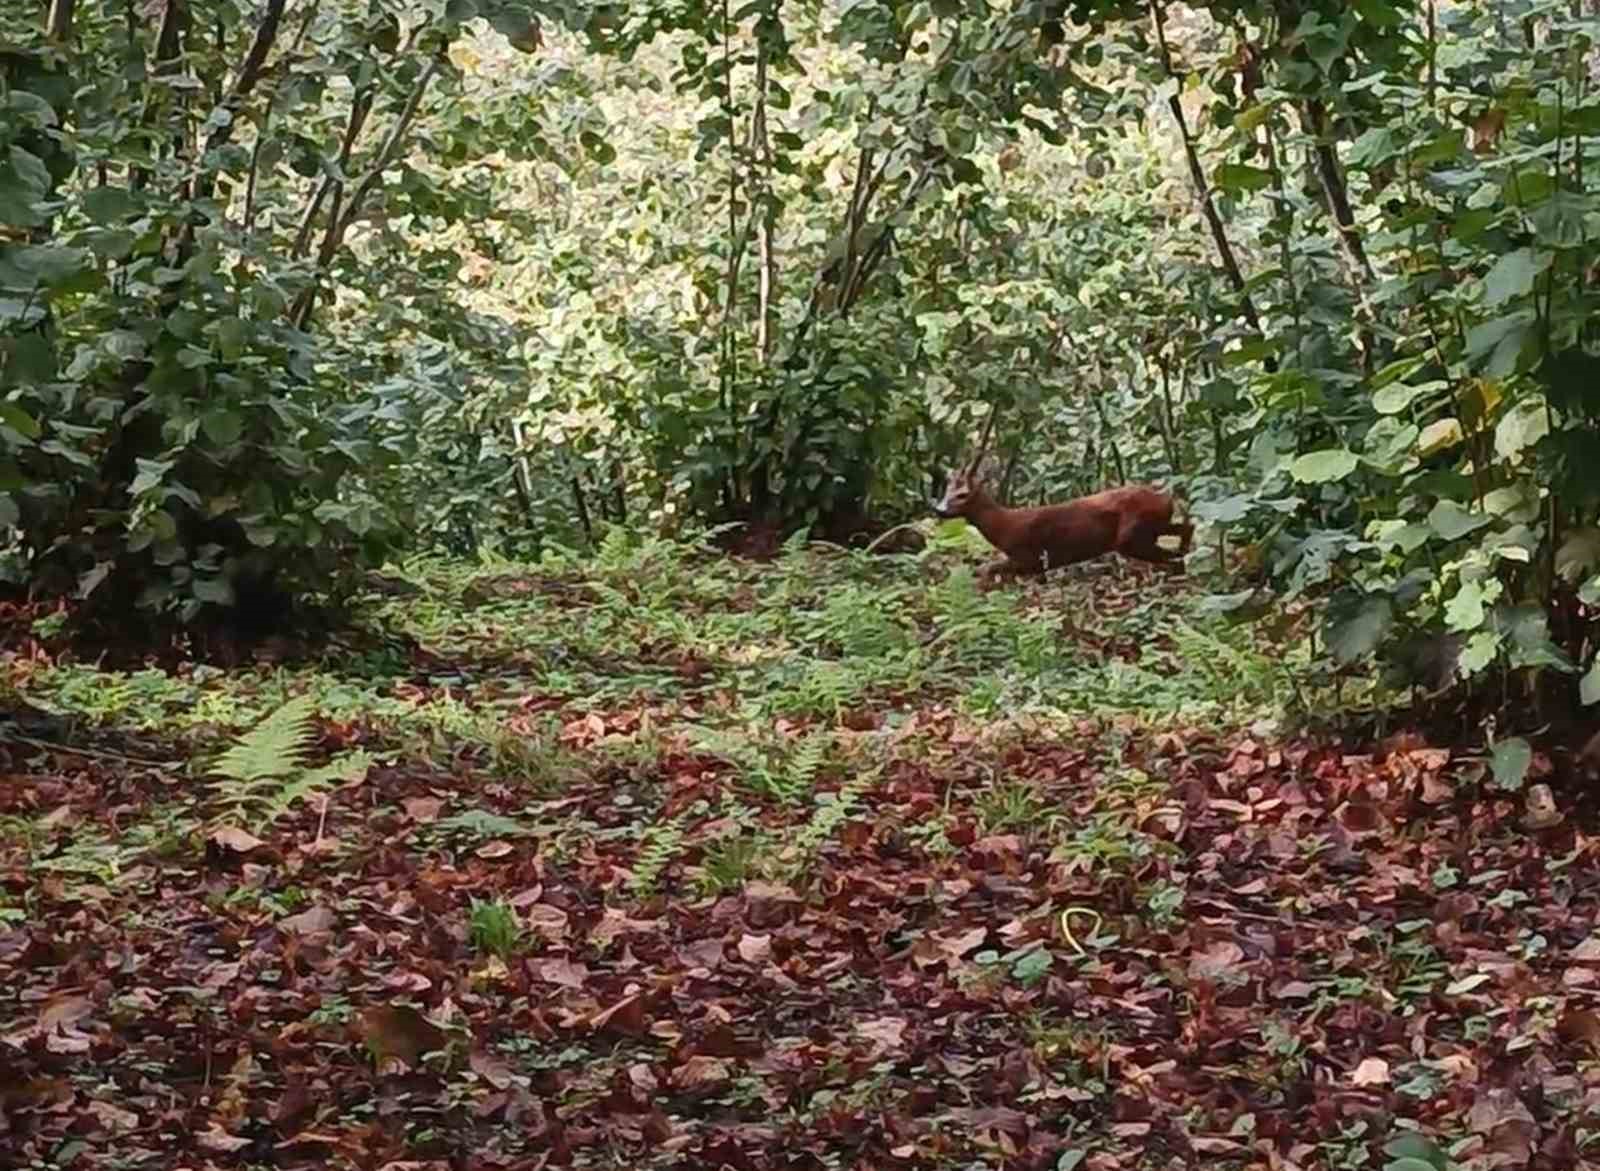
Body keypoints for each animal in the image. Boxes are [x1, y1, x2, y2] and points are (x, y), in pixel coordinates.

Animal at [934, 406, 1190, 582]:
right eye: (947, 490)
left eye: (963, 494)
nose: (939, 509)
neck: (1003, 526)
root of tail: (1166, 498)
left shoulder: (1030, 557)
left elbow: (989, 569)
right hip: (1153, 526)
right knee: (1186, 529)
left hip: (1132, 534)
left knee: (1170, 553)